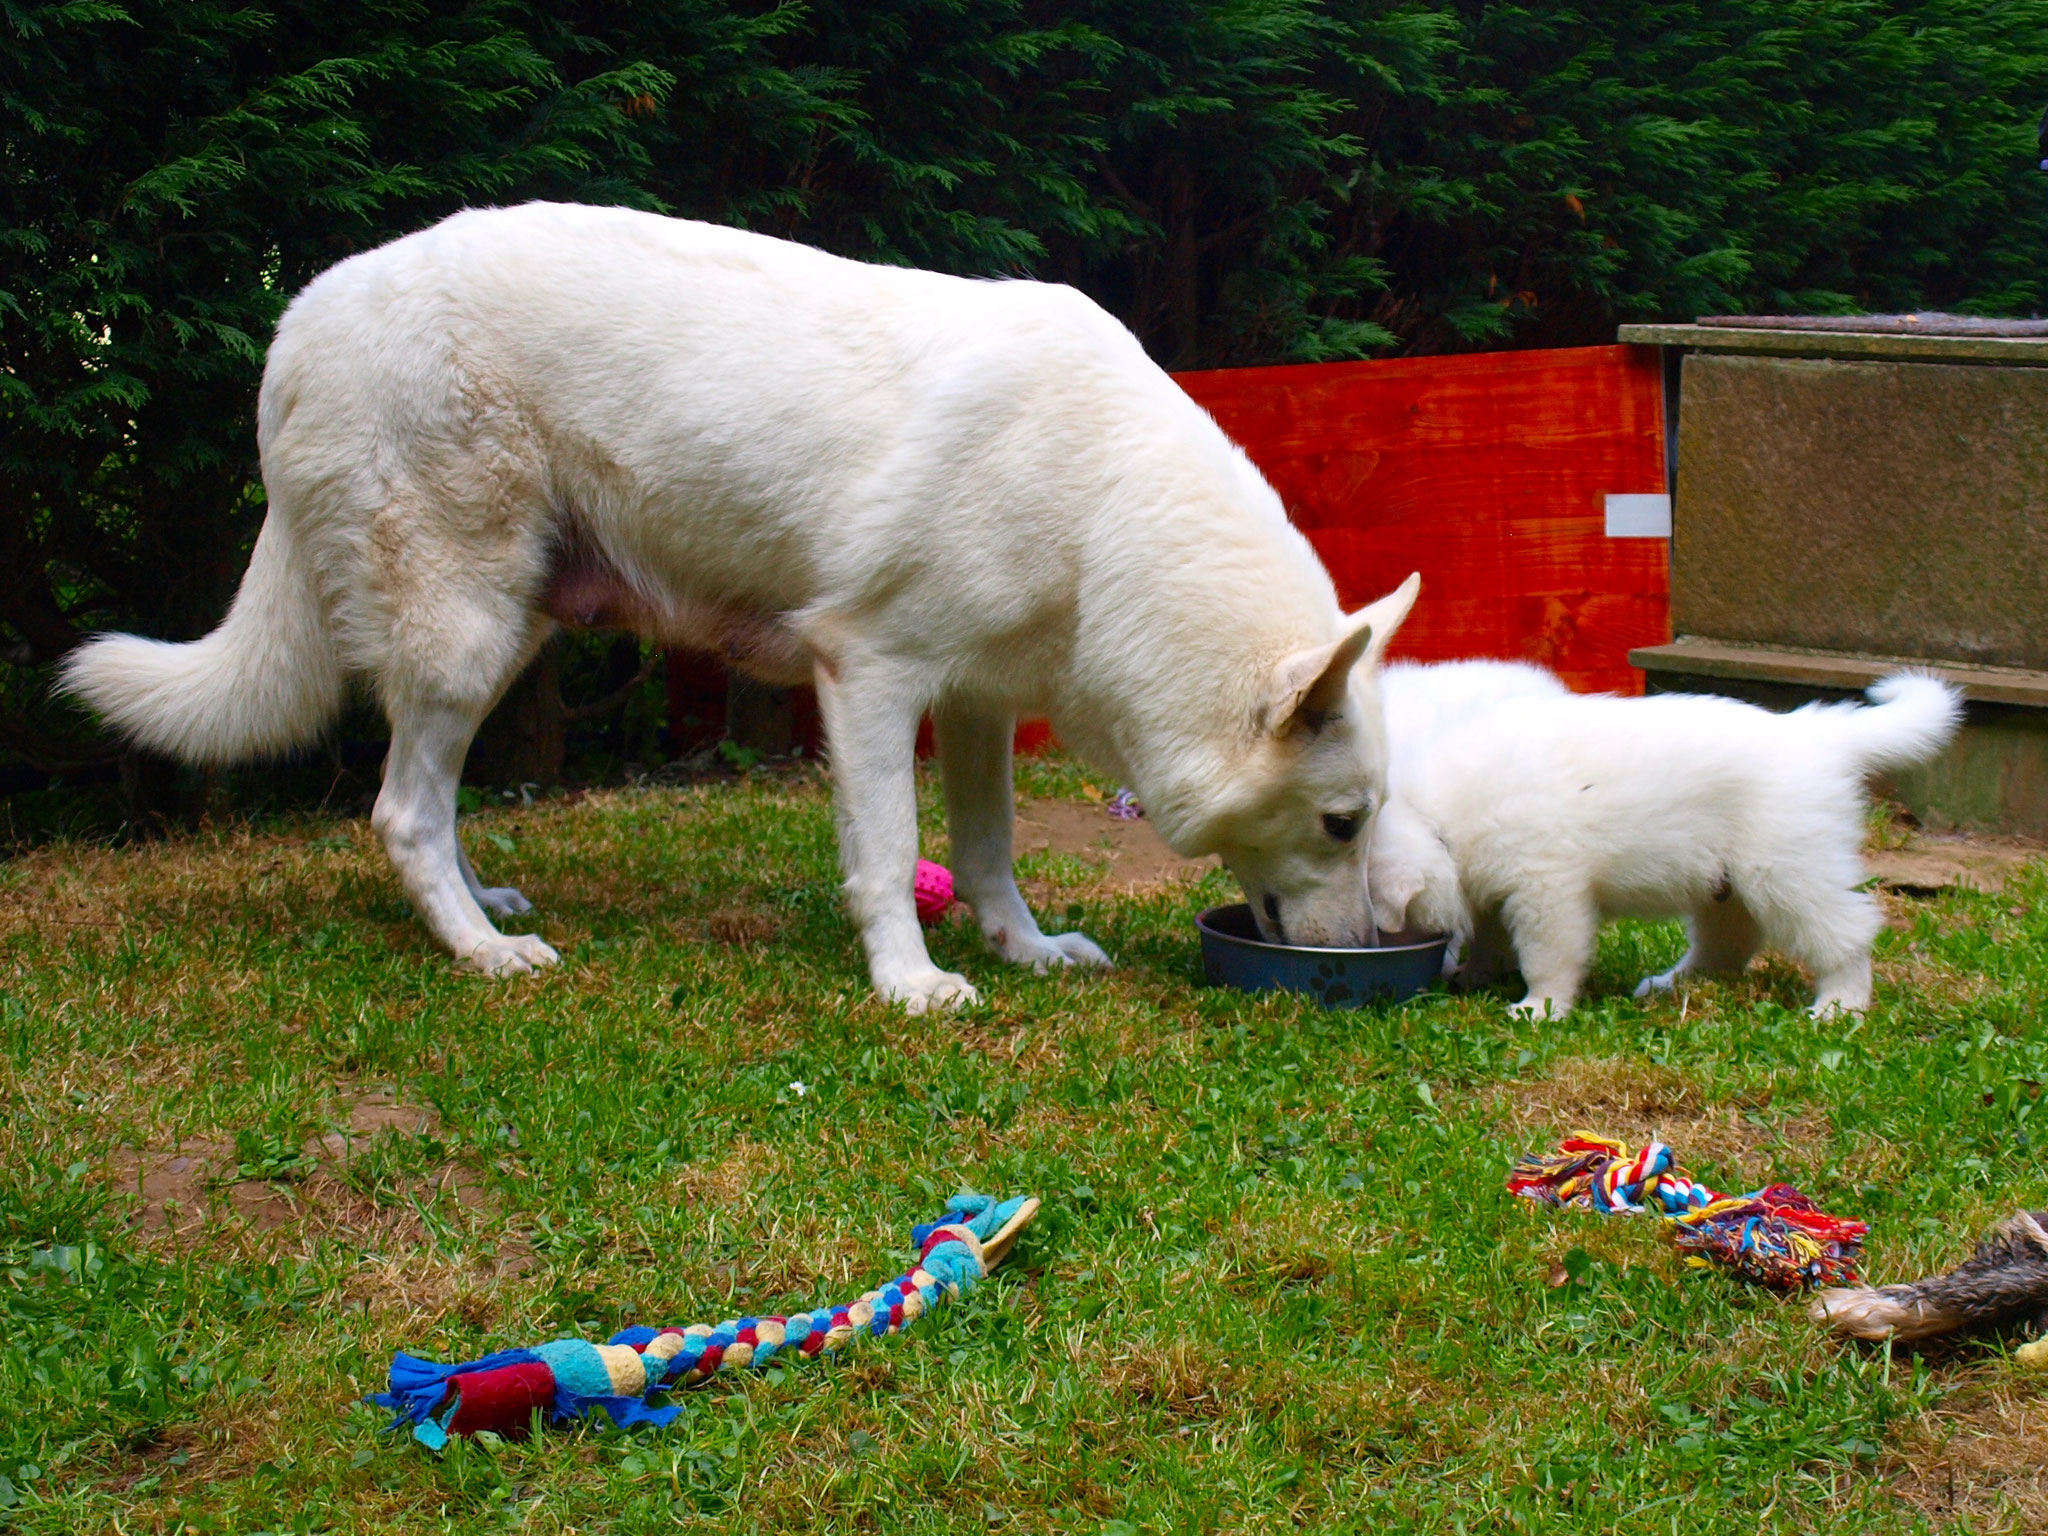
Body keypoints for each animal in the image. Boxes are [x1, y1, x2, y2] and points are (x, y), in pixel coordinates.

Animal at [56, 207, 1417, 1024]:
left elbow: (987, 850)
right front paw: (908, 983)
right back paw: (480, 950)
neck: (1099, 499)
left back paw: (486, 903)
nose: (1367, 952)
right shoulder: (869, 675)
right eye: (1341, 824)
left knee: (426, 803)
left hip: (507, 633)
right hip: (466, 636)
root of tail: (300, 316)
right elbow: (888, 855)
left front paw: (1023, 951)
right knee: (398, 812)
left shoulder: (974, 704)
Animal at [1368, 675, 1957, 1024]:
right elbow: (1492, 937)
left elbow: (1547, 955)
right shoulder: (1496, 883)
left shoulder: (1548, 887)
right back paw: (1673, 983)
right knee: (1727, 946)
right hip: (1728, 884)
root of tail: (1817, 733)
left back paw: (1840, 1003)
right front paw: (1475, 976)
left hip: (1788, 869)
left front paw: (1540, 1007)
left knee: (1843, 933)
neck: (1439, 812)